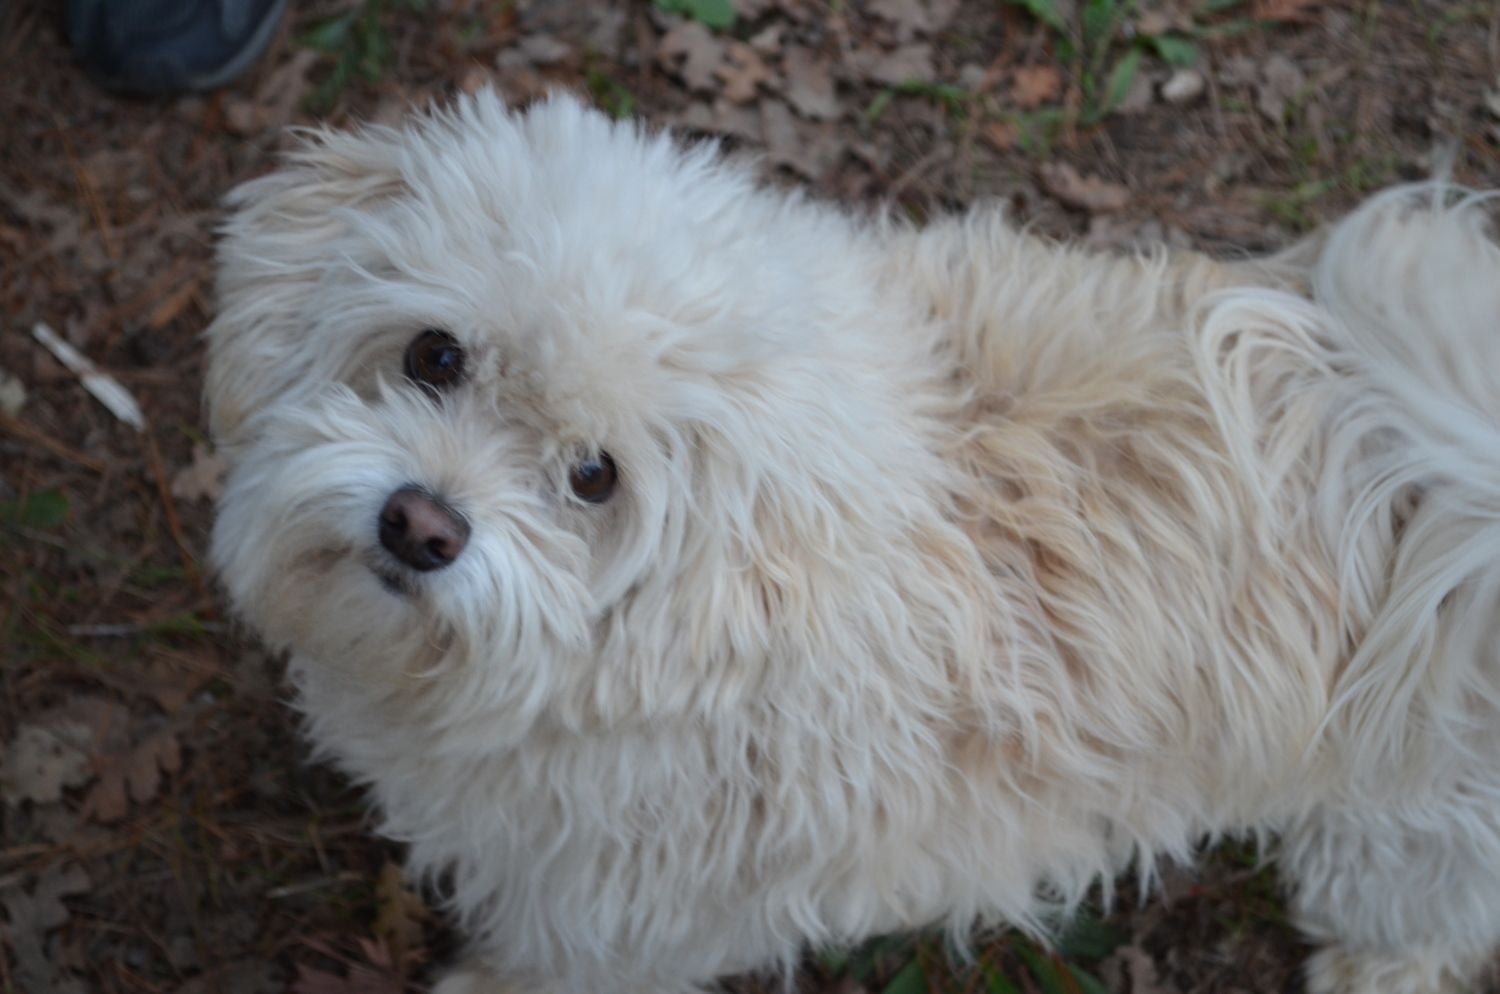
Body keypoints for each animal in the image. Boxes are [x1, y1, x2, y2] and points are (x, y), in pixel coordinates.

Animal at [205, 89, 1500, 994]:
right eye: (434, 354)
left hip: (1409, 826)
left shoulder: (620, 908)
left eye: (593, 477)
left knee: (1423, 908)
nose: (421, 524)